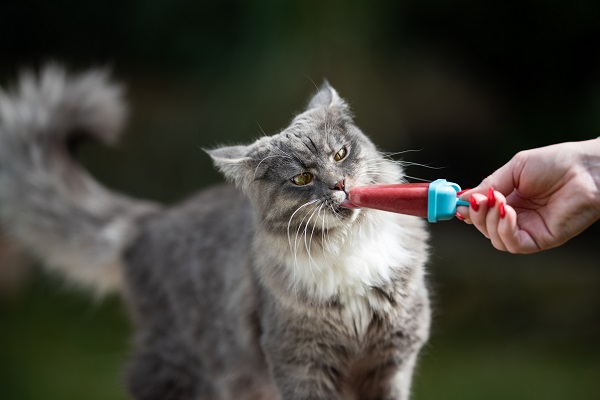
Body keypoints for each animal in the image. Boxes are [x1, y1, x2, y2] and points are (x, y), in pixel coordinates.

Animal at [0, 64, 432, 398]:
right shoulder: (301, 364)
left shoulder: (391, 361)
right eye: (302, 178)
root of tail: (151, 220)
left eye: (341, 154)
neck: (347, 248)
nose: (340, 185)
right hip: (181, 367)